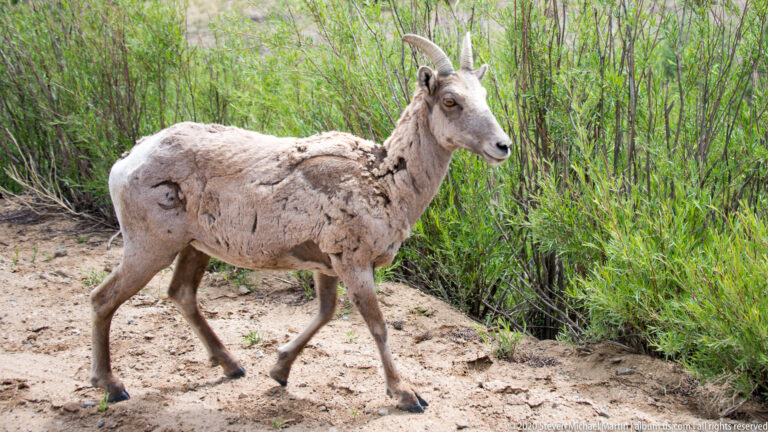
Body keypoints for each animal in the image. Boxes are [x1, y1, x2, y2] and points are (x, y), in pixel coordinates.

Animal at [89, 32, 511, 413]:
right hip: (150, 246)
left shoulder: (325, 265)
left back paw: (232, 366)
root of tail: (127, 162)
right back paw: (112, 386)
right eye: (450, 100)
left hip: (194, 247)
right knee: (103, 298)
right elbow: (377, 325)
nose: (503, 146)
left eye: (484, 96)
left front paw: (279, 370)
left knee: (181, 294)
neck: (384, 180)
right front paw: (408, 396)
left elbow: (325, 313)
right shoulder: (353, 262)